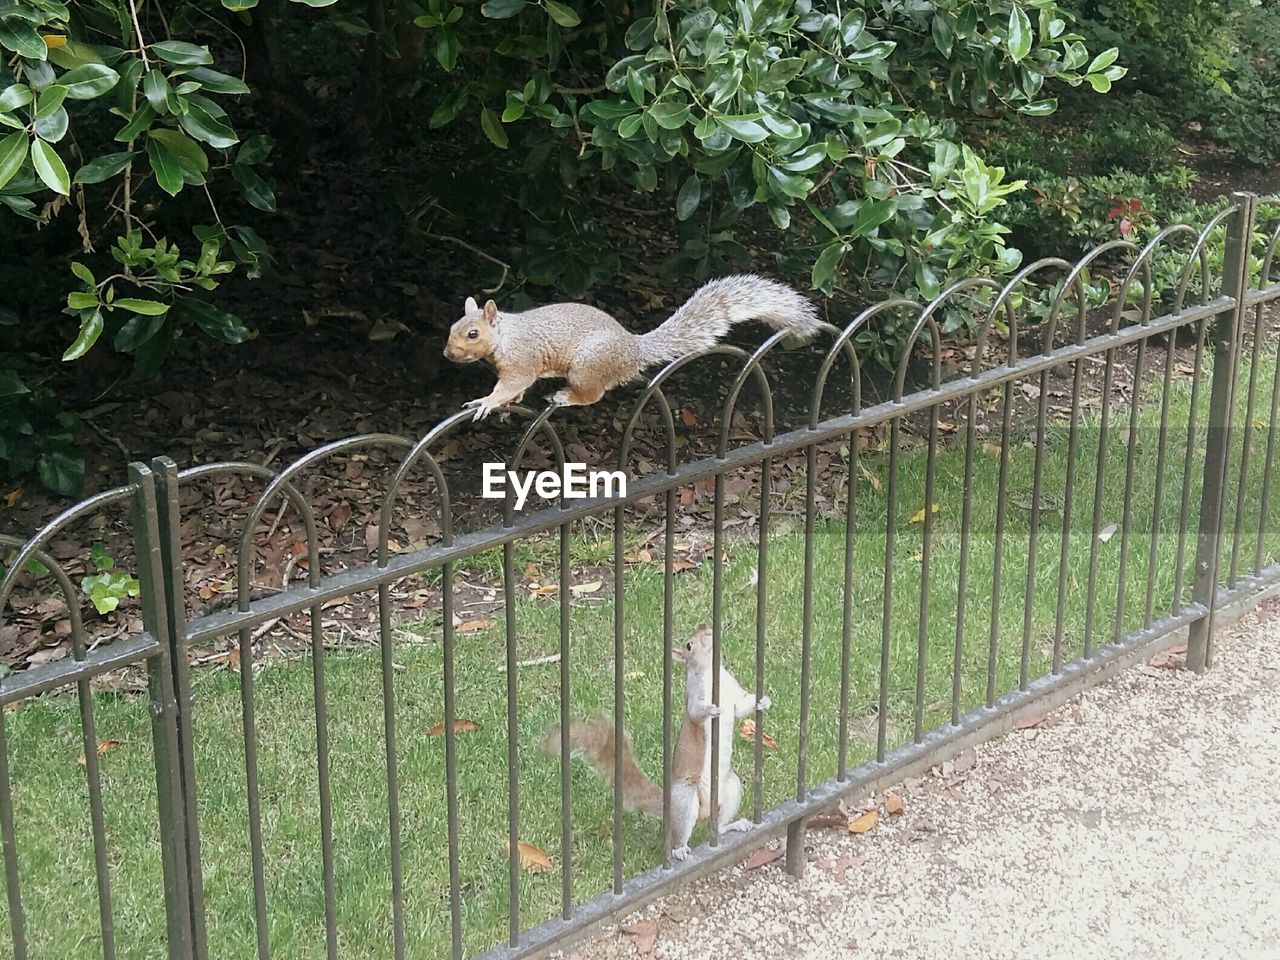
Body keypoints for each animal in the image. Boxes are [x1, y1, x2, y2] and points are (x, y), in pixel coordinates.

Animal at [440, 272, 819, 419]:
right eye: (452, 328)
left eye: (472, 334)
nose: (447, 353)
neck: (505, 335)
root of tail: (634, 349)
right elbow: (516, 389)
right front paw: (508, 404)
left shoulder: (521, 359)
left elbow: (513, 383)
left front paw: (487, 402)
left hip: (587, 366)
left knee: (593, 394)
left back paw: (565, 396)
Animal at [540, 627, 768, 860]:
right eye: (689, 645)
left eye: (706, 628)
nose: (709, 633)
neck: (712, 673)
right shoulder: (695, 694)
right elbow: (696, 713)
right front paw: (711, 710)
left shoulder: (732, 690)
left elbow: (741, 707)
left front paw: (763, 701)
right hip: (686, 799)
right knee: (681, 835)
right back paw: (679, 850)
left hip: (731, 787)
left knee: (718, 827)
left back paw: (736, 825)